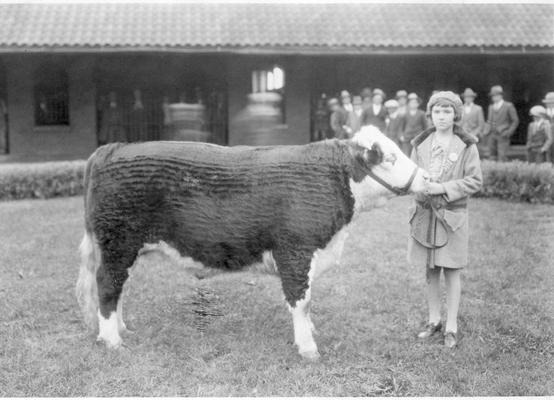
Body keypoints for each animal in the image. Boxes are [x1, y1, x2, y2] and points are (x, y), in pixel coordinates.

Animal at [74, 124, 426, 360]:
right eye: (390, 157)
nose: (426, 178)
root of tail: (112, 148)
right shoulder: (296, 252)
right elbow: (302, 301)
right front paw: (308, 348)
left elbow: (308, 302)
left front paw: (310, 333)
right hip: (118, 243)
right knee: (108, 285)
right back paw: (112, 340)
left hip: (122, 248)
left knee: (117, 287)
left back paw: (121, 329)